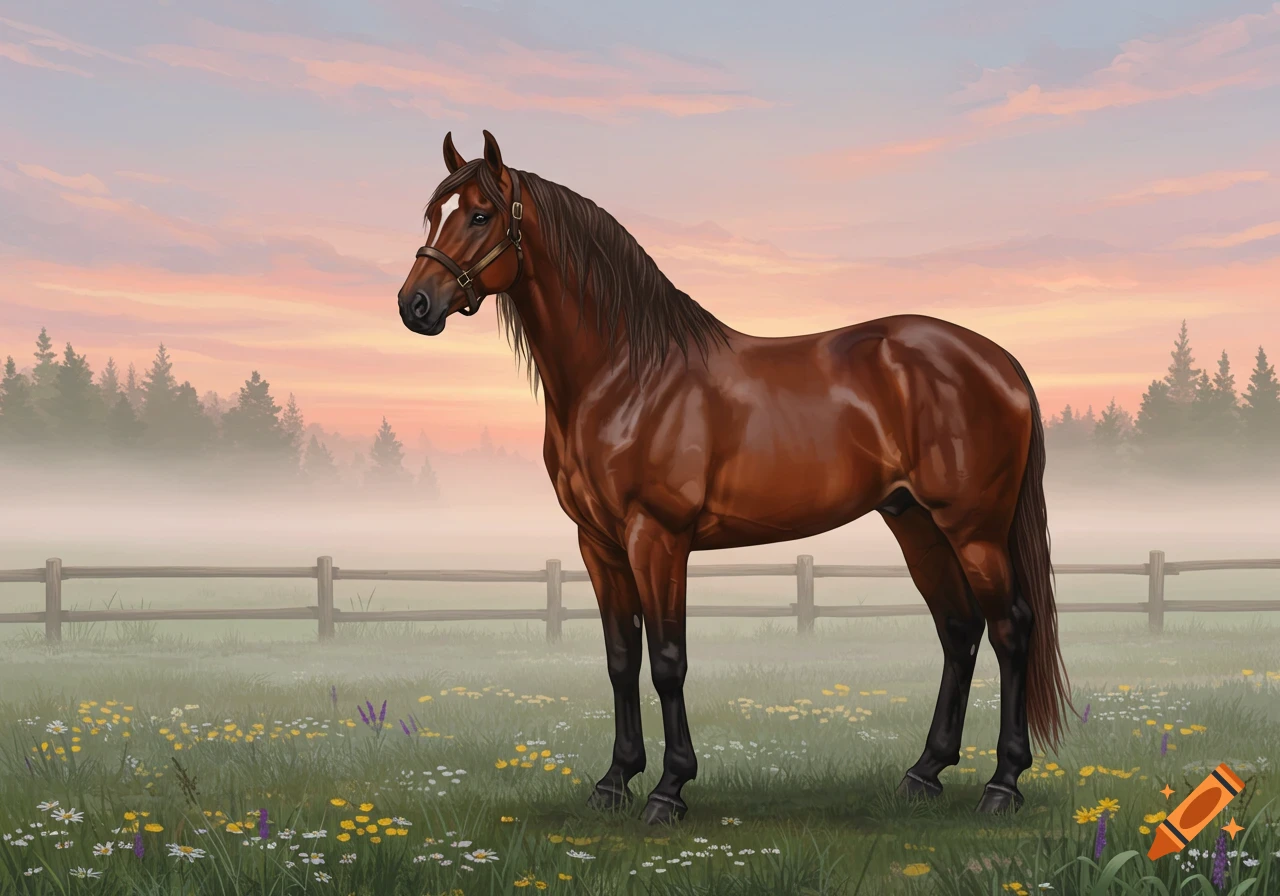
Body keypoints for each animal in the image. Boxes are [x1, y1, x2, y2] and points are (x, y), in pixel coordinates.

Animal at [396, 130, 1073, 825]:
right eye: (434, 215)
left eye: (481, 215)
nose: (413, 304)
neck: (625, 375)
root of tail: (1000, 362)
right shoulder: (599, 544)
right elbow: (620, 660)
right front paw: (614, 780)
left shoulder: (657, 537)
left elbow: (667, 660)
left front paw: (669, 790)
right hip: (916, 523)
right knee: (959, 630)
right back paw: (924, 772)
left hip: (974, 529)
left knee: (1010, 628)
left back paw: (1003, 783)